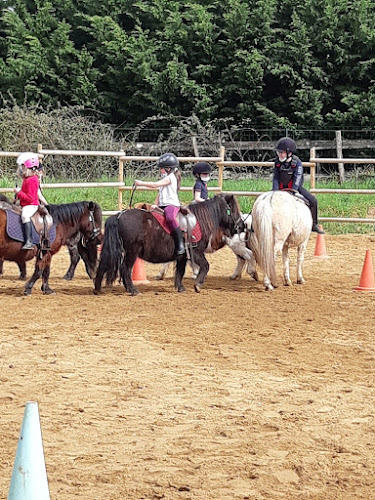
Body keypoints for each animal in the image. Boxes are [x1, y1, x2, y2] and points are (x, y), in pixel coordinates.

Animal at [94, 193, 244, 294]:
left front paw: (180, 287)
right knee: (125, 268)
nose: (241, 226)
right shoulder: (196, 251)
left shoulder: (183, 256)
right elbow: (205, 266)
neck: (199, 220)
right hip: (132, 252)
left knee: (105, 265)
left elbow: (180, 271)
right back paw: (132, 290)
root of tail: (119, 216)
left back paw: (98, 288)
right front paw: (198, 285)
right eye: (233, 209)